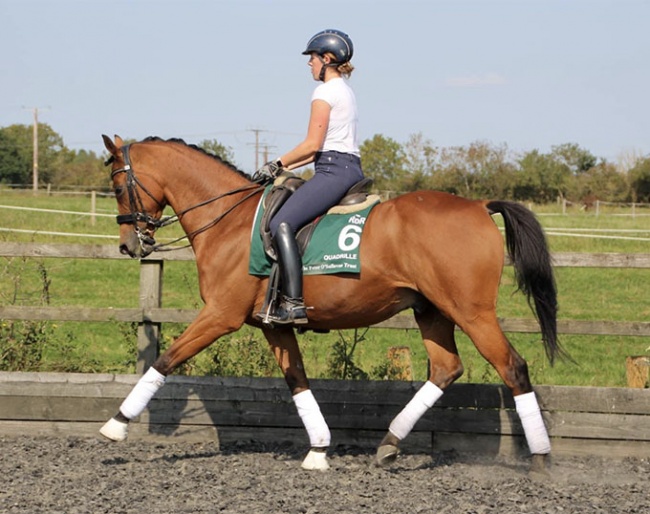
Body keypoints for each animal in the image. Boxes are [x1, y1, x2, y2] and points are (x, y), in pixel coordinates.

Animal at [99, 134, 564, 473]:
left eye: (119, 187)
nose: (128, 246)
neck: (229, 221)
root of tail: (479, 205)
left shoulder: (220, 315)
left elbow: (167, 360)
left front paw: (115, 425)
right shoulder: (273, 324)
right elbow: (297, 380)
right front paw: (319, 450)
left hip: (471, 312)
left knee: (512, 367)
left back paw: (541, 458)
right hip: (430, 311)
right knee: (446, 369)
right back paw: (389, 445)